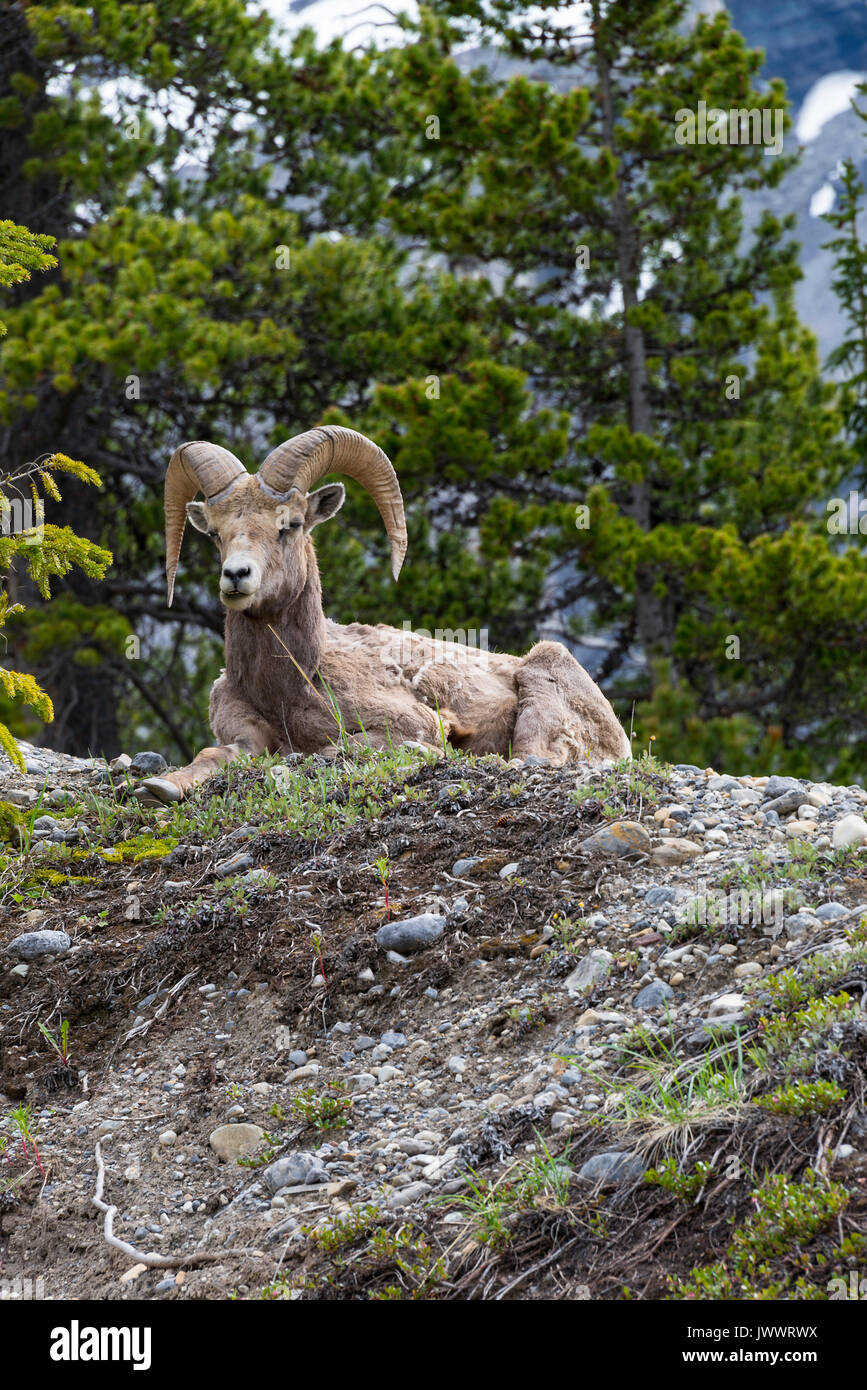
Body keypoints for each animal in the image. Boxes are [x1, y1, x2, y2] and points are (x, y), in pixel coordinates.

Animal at [135, 422, 633, 806]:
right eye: (217, 534)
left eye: (289, 525)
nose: (236, 576)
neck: (289, 688)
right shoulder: (241, 736)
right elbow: (210, 757)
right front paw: (160, 787)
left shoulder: (407, 723)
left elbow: (338, 750)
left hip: (542, 689)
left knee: (535, 757)